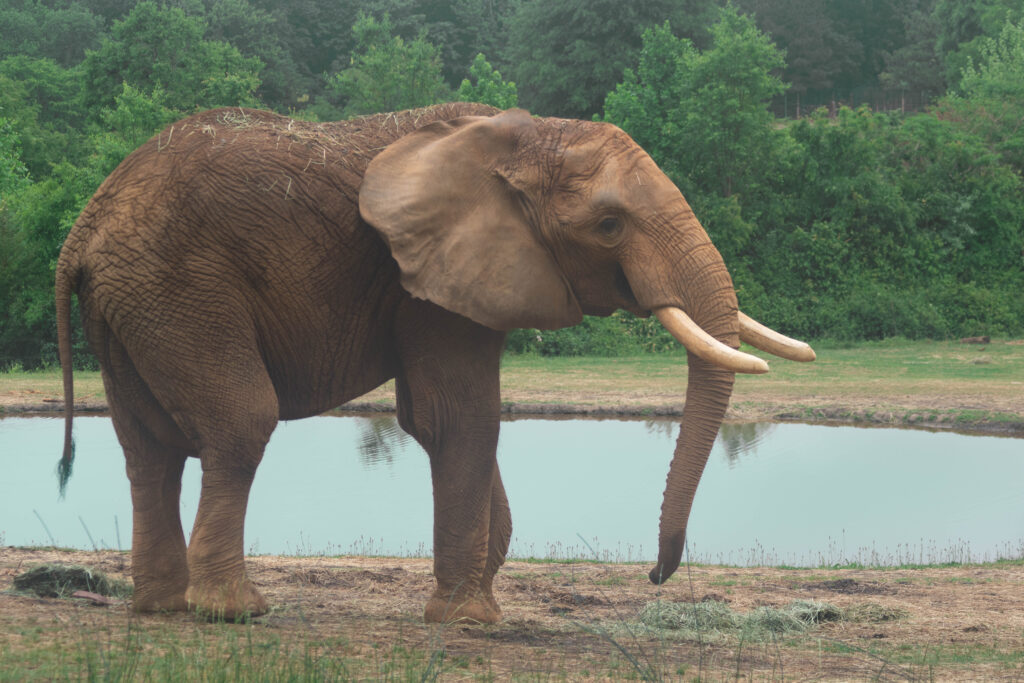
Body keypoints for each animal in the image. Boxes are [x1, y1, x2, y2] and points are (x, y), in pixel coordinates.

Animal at [56, 102, 815, 626]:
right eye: (609, 225)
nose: (657, 575)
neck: (525, 137)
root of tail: (83, 230)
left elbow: (442, 420)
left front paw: (480, 601)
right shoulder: (428, 278)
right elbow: (458, 418)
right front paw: (468, 619)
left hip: (132, 303)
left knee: (147, 447)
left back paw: (161, 607)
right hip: (180, 289)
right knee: (241, 422)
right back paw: (236, 611)